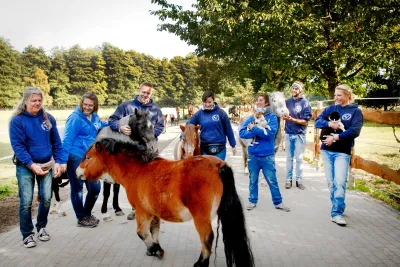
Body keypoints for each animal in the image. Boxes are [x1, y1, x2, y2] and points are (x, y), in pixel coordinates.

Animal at [77, 109, 253, 267]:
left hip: (201, 218)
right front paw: (153, 250)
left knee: (207, 238)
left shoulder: (142, 211)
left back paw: (201, 263)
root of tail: (219, 166)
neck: (138, 169)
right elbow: (154, 230)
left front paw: (156, 250)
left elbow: (142, 233)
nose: (77, 172)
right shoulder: (154, 211)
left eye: (88, 157)